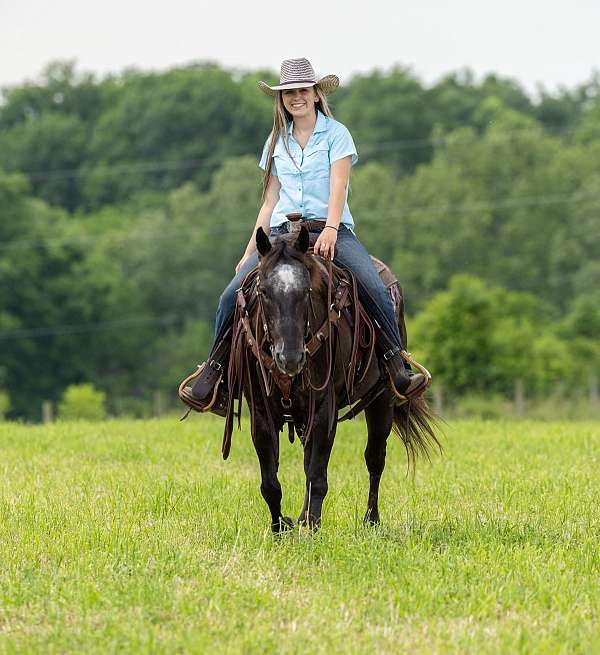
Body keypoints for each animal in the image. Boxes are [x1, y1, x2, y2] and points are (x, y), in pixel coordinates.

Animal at [216, 227, 436, 532]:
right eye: (263, 291)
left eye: (306, 291)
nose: (290, 358)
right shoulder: (260, 410)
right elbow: (271, 482)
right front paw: (281, 527)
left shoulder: (323, 407)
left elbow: (317, 474)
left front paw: (311, 526)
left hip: (383, 399)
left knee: (375, 458)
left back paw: (371, 520)